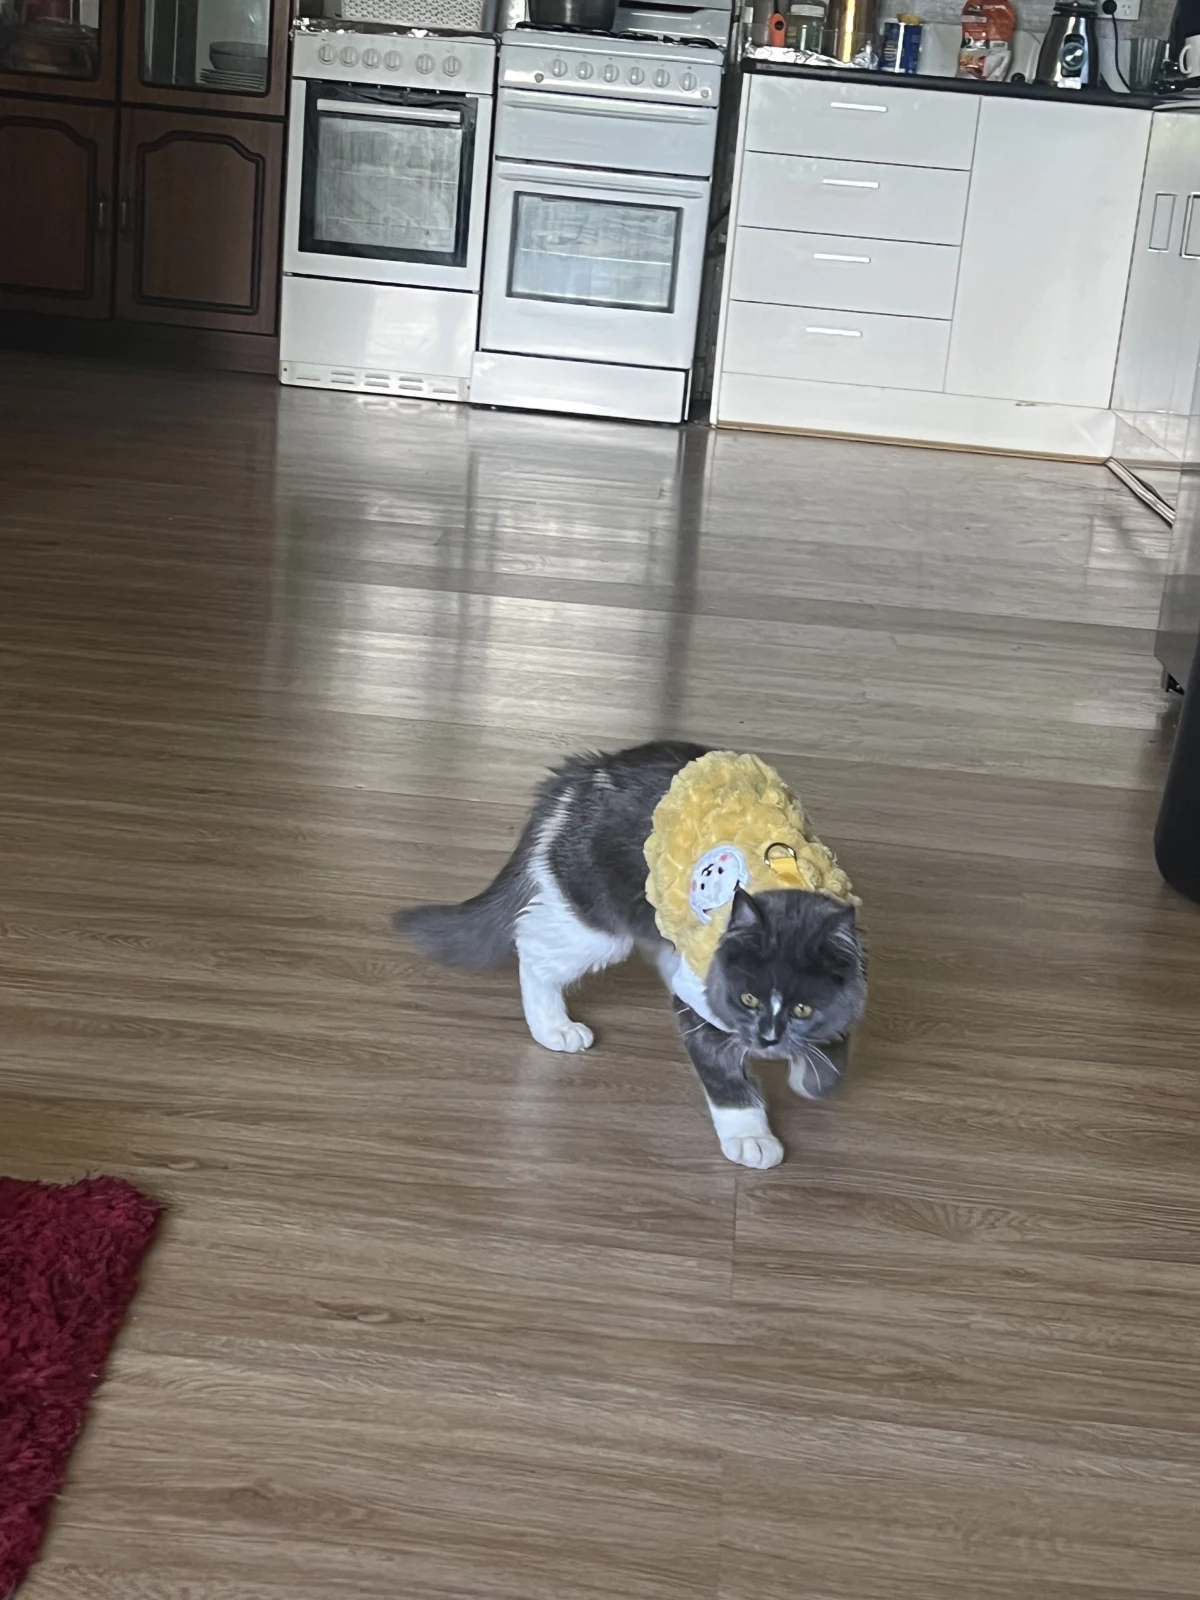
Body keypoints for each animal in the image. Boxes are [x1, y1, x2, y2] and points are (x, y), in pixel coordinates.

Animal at [396, 741, 867, 1169]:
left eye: (802, 1008)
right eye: (747, 999)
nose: (767, 1040)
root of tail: (584, 772)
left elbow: (833, 1052)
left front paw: (810, 1077)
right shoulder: (704, 1000)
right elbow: (725, 1077)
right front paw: (751, 1136)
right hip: (596, 922)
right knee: (532, 945)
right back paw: (554, 1027)